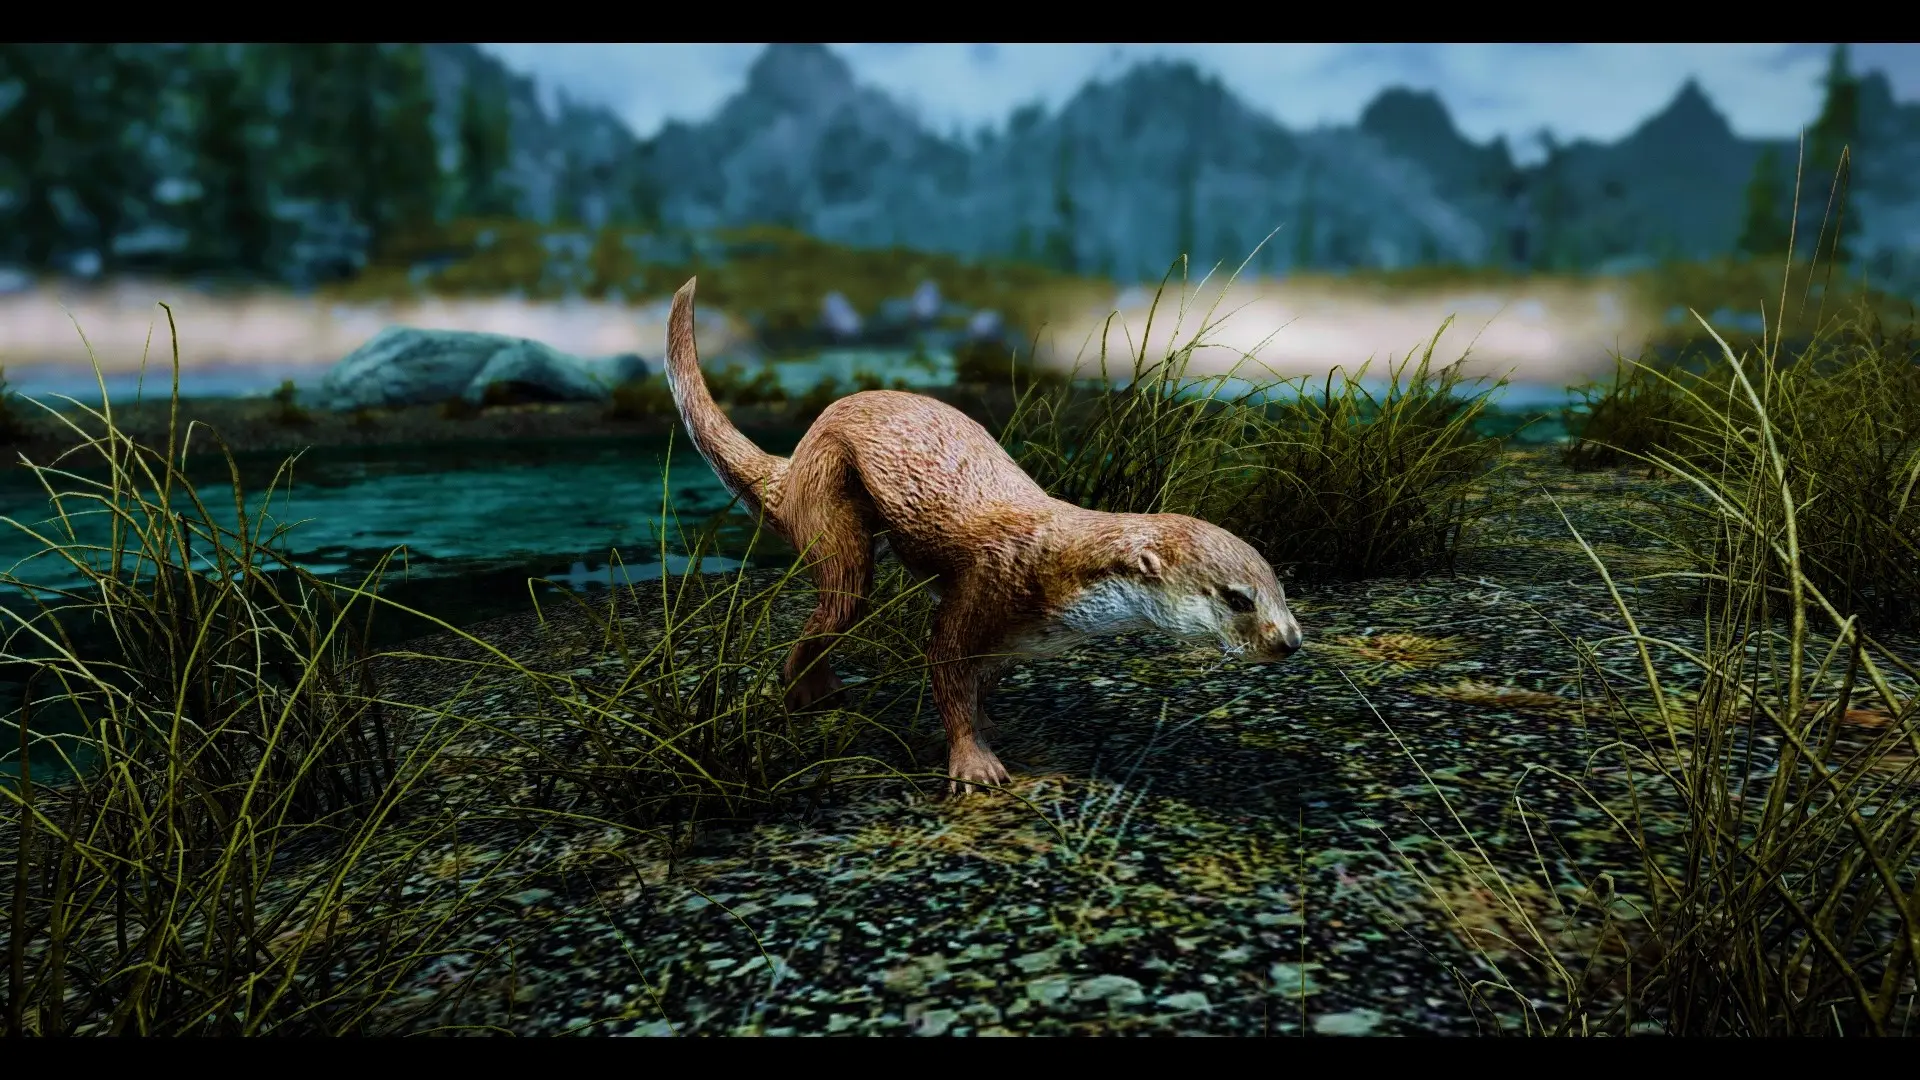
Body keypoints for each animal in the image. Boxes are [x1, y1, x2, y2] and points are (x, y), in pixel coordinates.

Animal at [663, 278, 1302, 793]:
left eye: (1280, 588)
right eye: (1238, 599)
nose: (1291, 641)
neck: (1056, 567)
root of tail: (792, 463)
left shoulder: (1017, 635)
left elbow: (982, 675)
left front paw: (989, 719)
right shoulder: (986, 584)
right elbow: (945, 661)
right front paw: (974, 762)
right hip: (831, 509)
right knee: (835, 606)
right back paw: (806, 692)